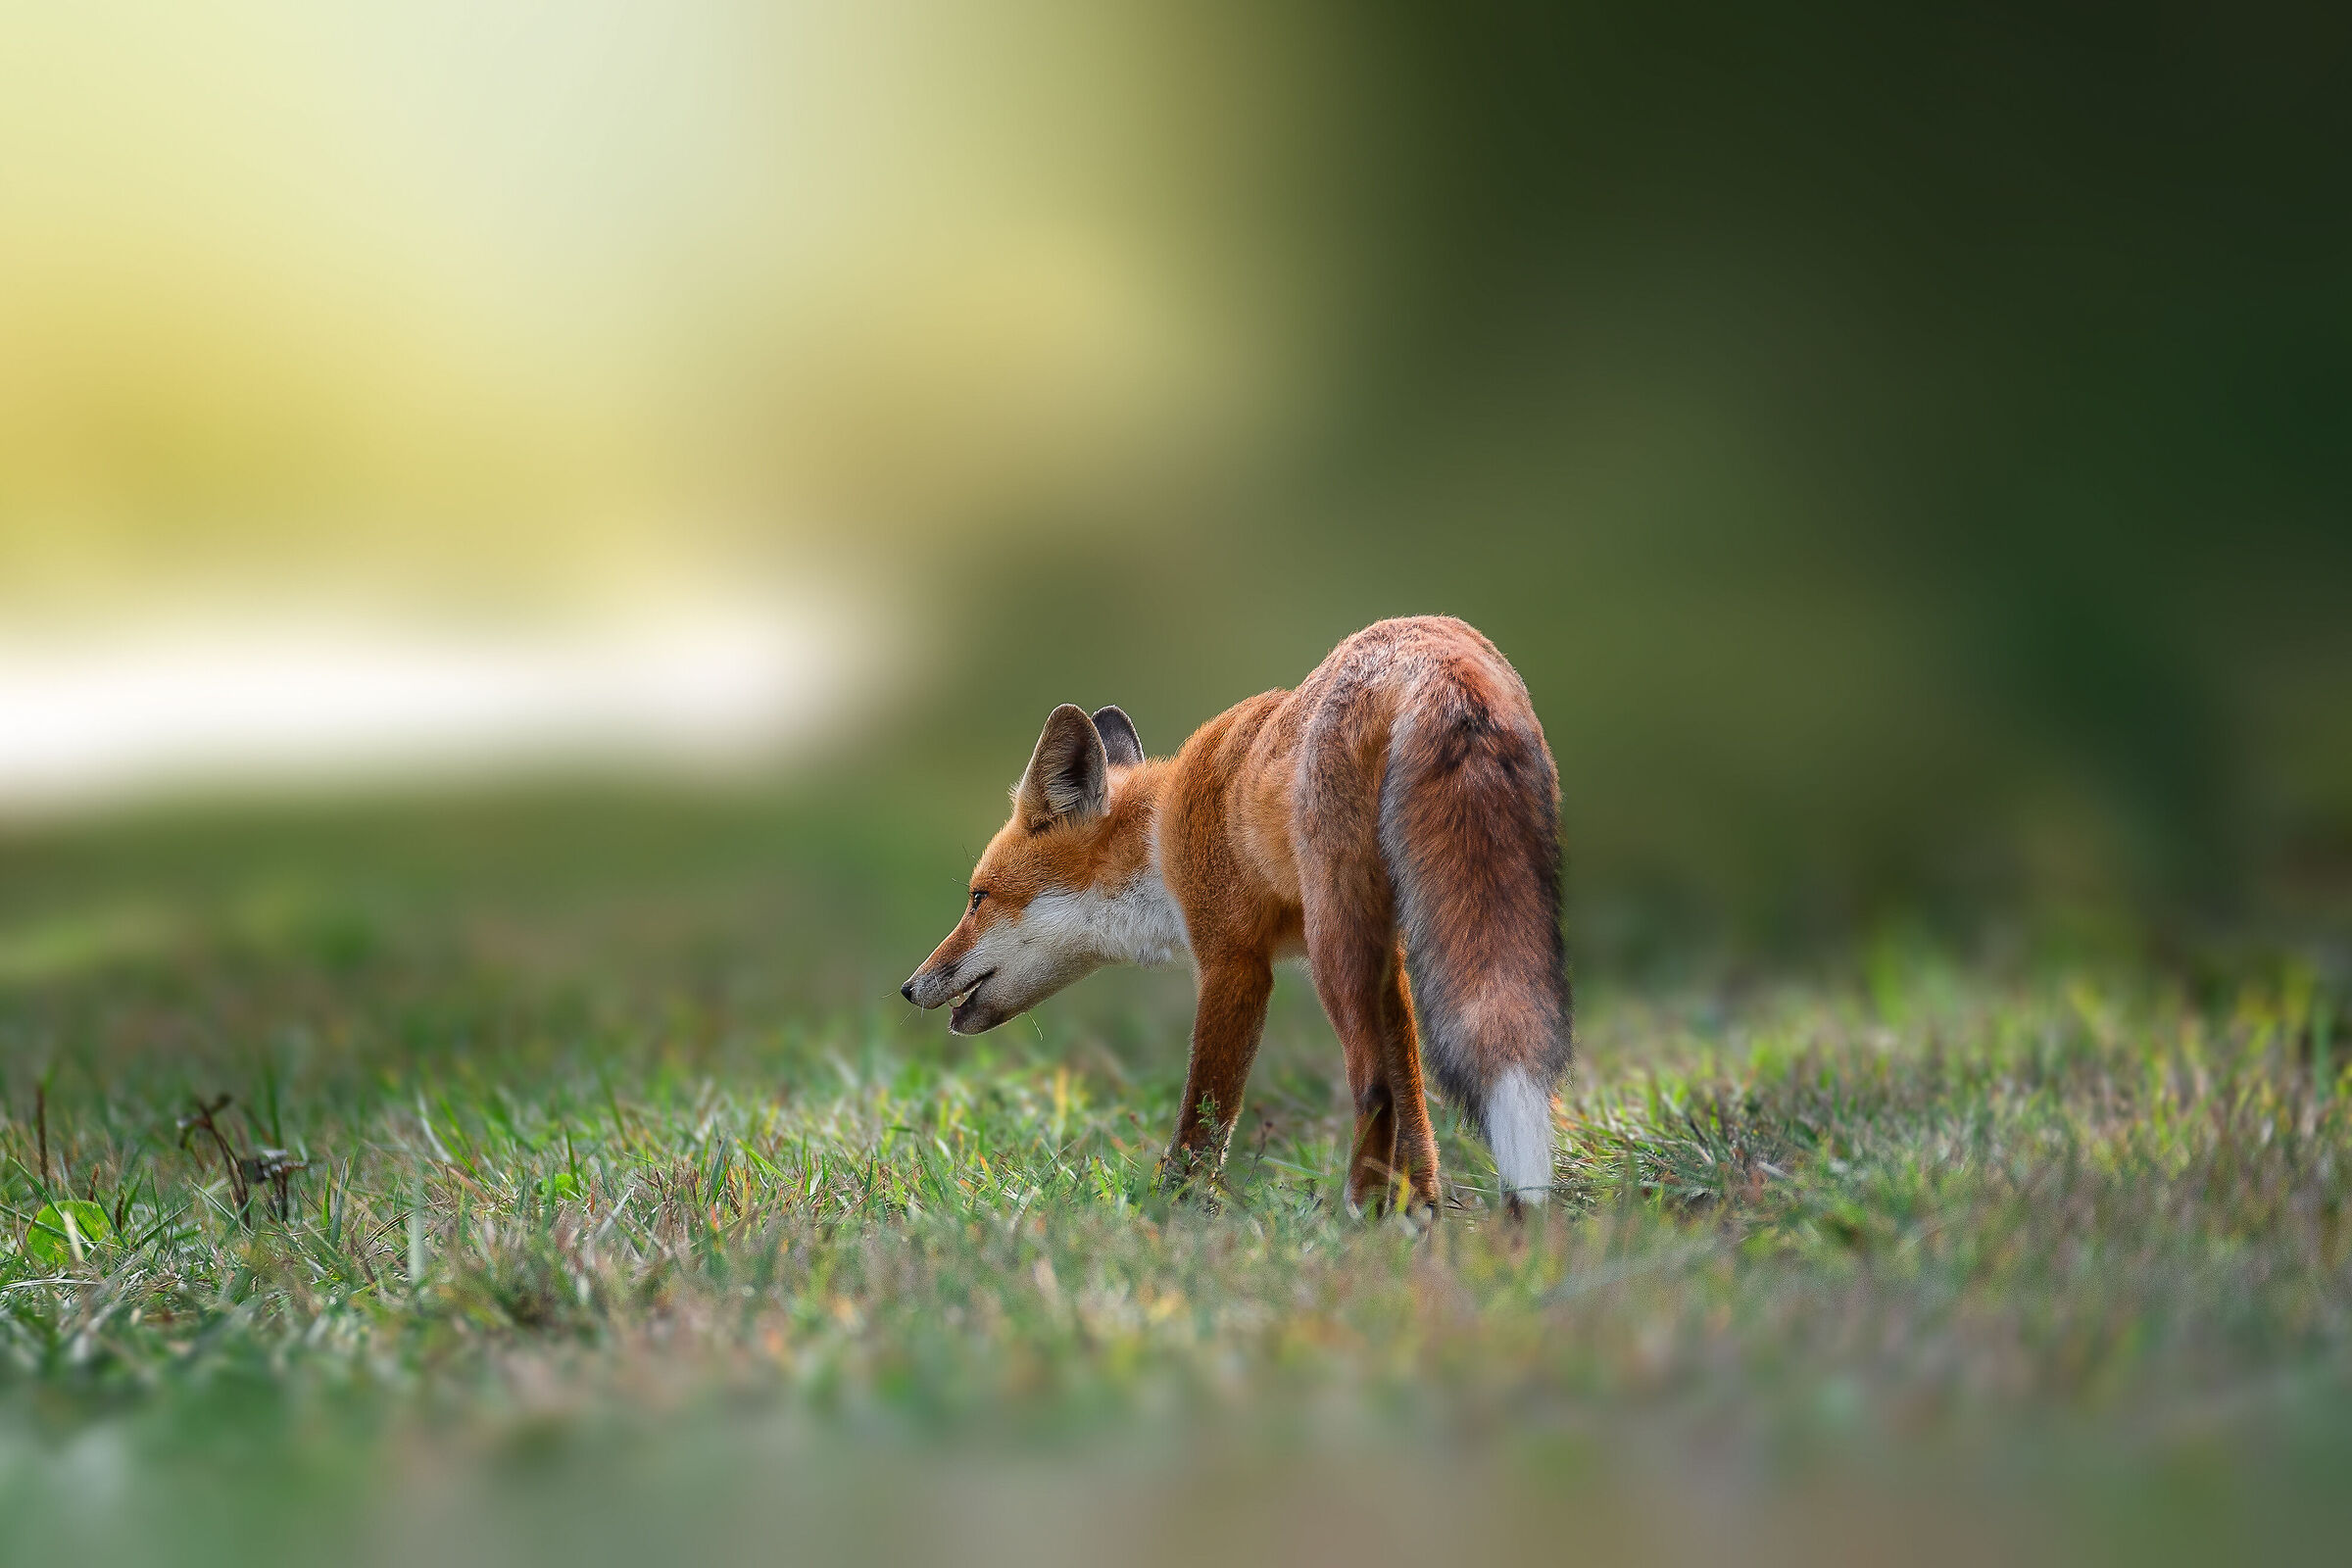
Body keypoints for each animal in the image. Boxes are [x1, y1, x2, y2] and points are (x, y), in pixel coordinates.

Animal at [900, 615, 1570, 1214]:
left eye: (978, 897)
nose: (909, 987)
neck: (1160, 836)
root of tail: (1438, 655)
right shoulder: (1393, 956)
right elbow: (1416, 1103)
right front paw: (1421, 1210)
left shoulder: (1233, 960)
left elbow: (1204, 1116)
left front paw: (1170, 1210)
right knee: (1402, 1079)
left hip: (1332, 943)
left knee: (1371, 1083)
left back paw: (1353, 1214)